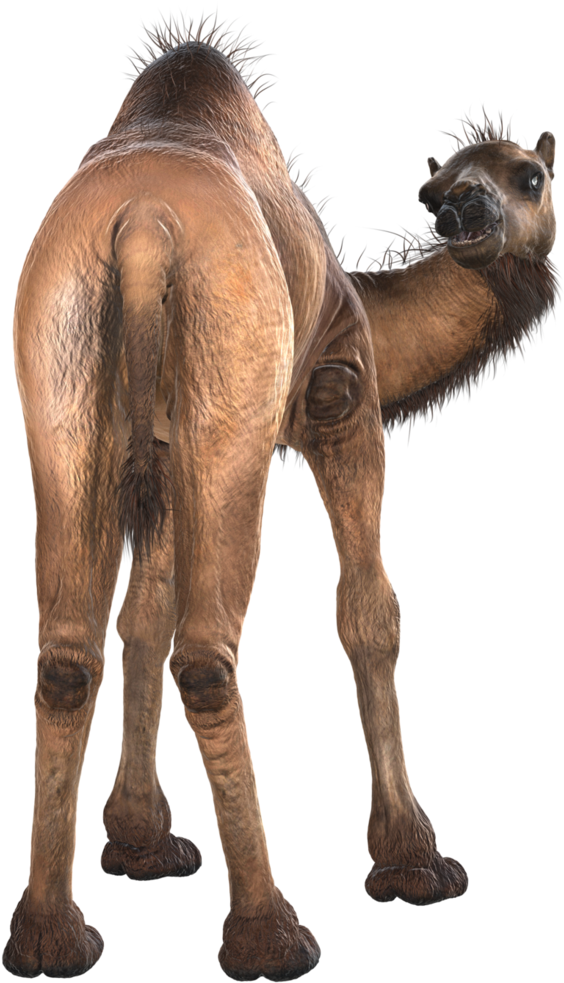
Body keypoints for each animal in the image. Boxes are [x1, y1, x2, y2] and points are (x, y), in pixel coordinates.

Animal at [4, 10, 558, 981]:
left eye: (529, 177)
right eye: (437, 190)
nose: (466, 210)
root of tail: (141, 225)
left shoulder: (156, 446)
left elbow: (142, 615)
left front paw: (142, 840)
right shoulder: (343, 397)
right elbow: (371, 613)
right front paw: (414, 858)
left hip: (62, 367)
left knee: (69, 654)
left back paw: (49, 938)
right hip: (234, 399)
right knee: (207, 654)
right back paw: (272, 932)